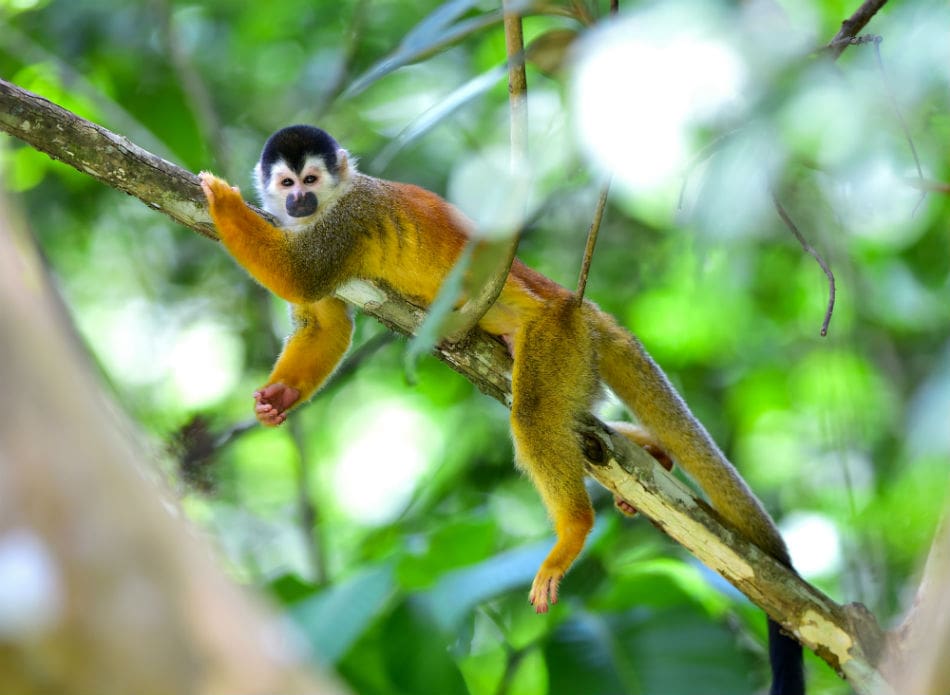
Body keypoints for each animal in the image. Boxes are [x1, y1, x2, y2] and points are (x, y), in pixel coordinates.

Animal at [199, 125, 804, 695]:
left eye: (311, 180)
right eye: (286, 184)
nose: (299, 201)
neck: (329, 206)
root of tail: (577, 304)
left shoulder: (348, 219)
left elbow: (299, 277)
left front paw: (221, 201)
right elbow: (324, 321)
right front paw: (281, 396)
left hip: (555, 337)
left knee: (534, 414)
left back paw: (575, 529)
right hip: (576, 358)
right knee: (578, 425)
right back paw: (646, 450)